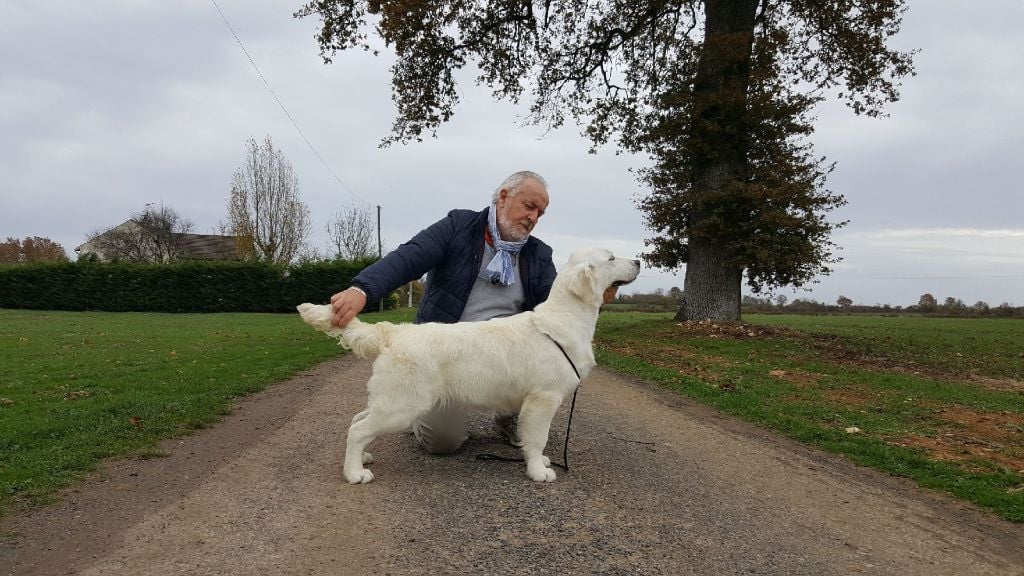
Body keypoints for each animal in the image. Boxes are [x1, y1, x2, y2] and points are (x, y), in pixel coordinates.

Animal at [294, 245, 638, 479]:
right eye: (610, 258)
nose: (637, 261)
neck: (565, 319)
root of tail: (392, 332)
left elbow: (530, 438)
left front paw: (536, 462)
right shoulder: (544, 397)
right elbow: (538, 438)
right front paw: (538, 471)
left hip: (390, 400)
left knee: (357, 421)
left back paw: (362, 459)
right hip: (402, 405)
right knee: (358, 429)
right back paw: (354, 473)